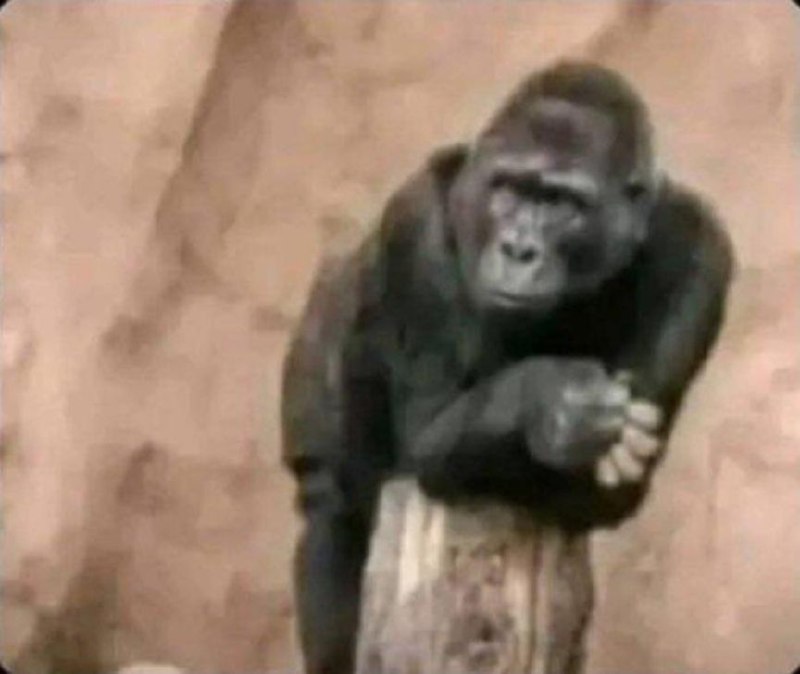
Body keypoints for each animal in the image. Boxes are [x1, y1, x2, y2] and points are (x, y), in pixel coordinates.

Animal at [281, 61, 733, 674]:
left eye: (563, 203)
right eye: (508, 190)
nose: (519, 249)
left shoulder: (701, 254)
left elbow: (606, 497)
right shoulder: (415, 224)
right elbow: (426, 437)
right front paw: (549, 402)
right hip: (324, 314)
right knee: (334, 504)